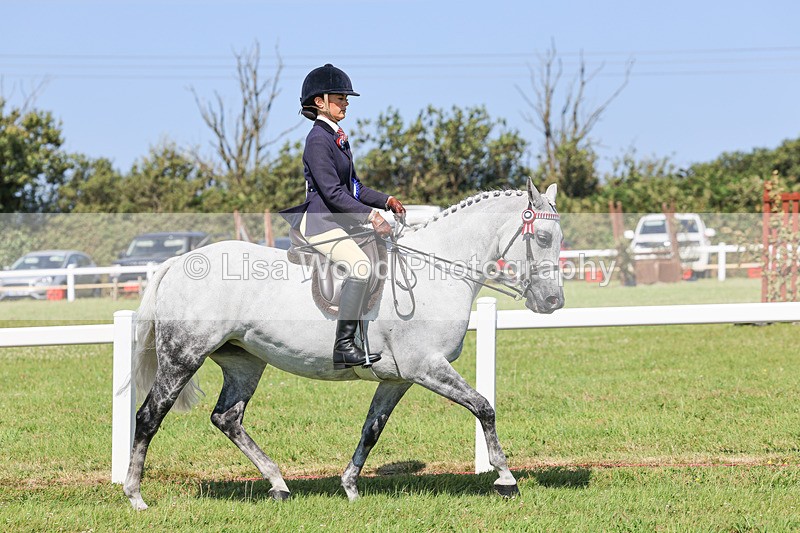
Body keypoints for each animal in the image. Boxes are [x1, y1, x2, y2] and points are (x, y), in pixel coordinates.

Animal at [123, 179, 564, 510]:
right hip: (183, 357)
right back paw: (136, 496)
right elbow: (483, 407)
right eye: (543, 237)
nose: (552, 302)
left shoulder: (399, 378)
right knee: (148, 417)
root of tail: (175, 263)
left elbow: (372, 428)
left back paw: (279, 484)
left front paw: (350, 485)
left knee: (227, 418)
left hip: (244, 362)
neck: (435, 272)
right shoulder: (427, 366)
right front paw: (505, 478)